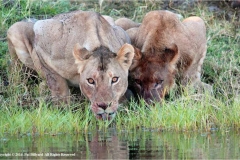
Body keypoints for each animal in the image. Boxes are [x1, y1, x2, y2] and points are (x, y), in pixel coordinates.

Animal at [7, 10, 135, 120]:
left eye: (114, 79)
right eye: (90, 81)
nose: (103, 105)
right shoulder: (41, 39)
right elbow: (58, 86)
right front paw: (63, 111)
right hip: (15, 29)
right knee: (16, 69)